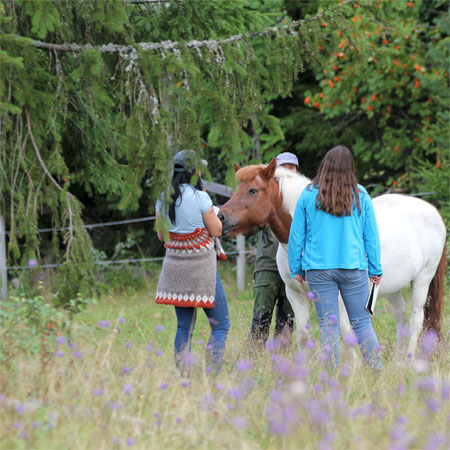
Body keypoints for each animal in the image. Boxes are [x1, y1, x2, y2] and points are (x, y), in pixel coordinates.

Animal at [218, 158, 446, 358]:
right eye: (236, 190)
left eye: (253, 190)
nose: (221, 217)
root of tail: (433, 212)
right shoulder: (296, 296)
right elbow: (304, 337)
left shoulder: (338, 296)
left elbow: (345, 332)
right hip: (390, 286)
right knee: (400, 317)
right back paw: (398, 360)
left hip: (422, 280)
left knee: (416, 321)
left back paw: (408, 360)